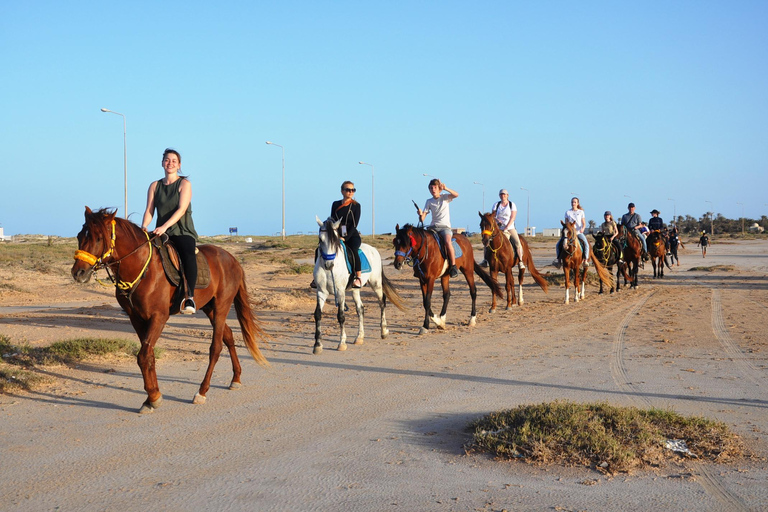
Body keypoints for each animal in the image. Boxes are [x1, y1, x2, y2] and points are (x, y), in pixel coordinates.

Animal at [72, 207, 268, 412]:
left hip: (222, 306)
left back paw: (202, 391)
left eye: (99, 238)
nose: (78, 273)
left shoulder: (159, 317)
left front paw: (154, 396)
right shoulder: (136, 318)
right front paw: (151, 397)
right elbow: (148, 355)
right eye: (79, 236)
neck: (142, 268)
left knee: (216, 347)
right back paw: (236, 378)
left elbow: (143, 356)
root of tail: (233, 260)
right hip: (209, 308)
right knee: (228, 336)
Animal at [312, 216, 408, 356]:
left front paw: (342, 343)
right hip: (355, 289)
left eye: (335, 239)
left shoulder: (340, 292)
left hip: (376, 284)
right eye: (320, 239)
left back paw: (384, 331)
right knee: (360, 309)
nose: (329, 265)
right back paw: (359, 337)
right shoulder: (321, 292)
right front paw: (317, 345)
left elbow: (341, 316)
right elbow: (318, 314)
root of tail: (374, 249)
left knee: (382, 302)